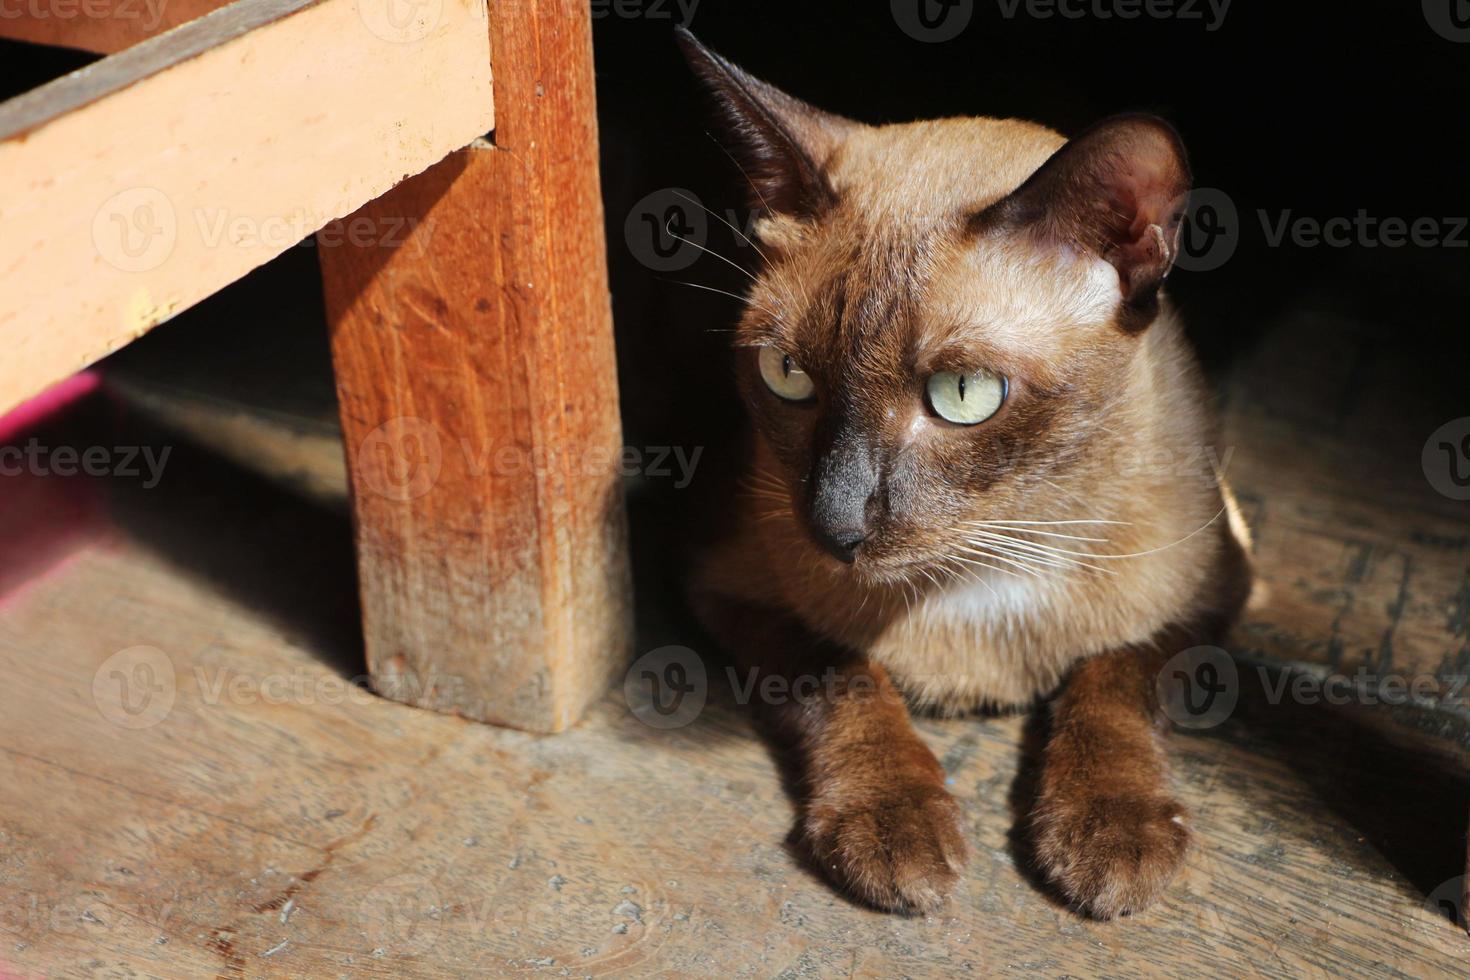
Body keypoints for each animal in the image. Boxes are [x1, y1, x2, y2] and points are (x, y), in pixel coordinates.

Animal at [676, 30, 1252, 922]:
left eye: (962, 395)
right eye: (787, 377)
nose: (834, 525)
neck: (986, 566)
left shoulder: (1212, 592)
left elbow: (1116, 674)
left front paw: (1111, 834)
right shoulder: (728, 589)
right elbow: (841, 675)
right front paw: (895, 827)